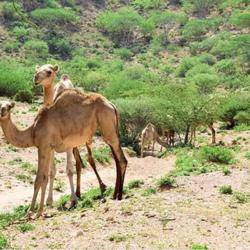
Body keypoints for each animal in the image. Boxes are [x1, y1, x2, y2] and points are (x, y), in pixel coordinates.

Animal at [33, 64, 106, 207]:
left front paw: (72, 199)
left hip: (87, 138)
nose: (36, 78)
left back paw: (101, 187)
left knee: (89, 159)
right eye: (37, 70)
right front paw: (49, 200)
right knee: (79, 161)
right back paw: (78, 192)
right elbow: (52, 171)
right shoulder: (50, 146)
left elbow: (69, 170)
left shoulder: (67, 144)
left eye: (49, 72)